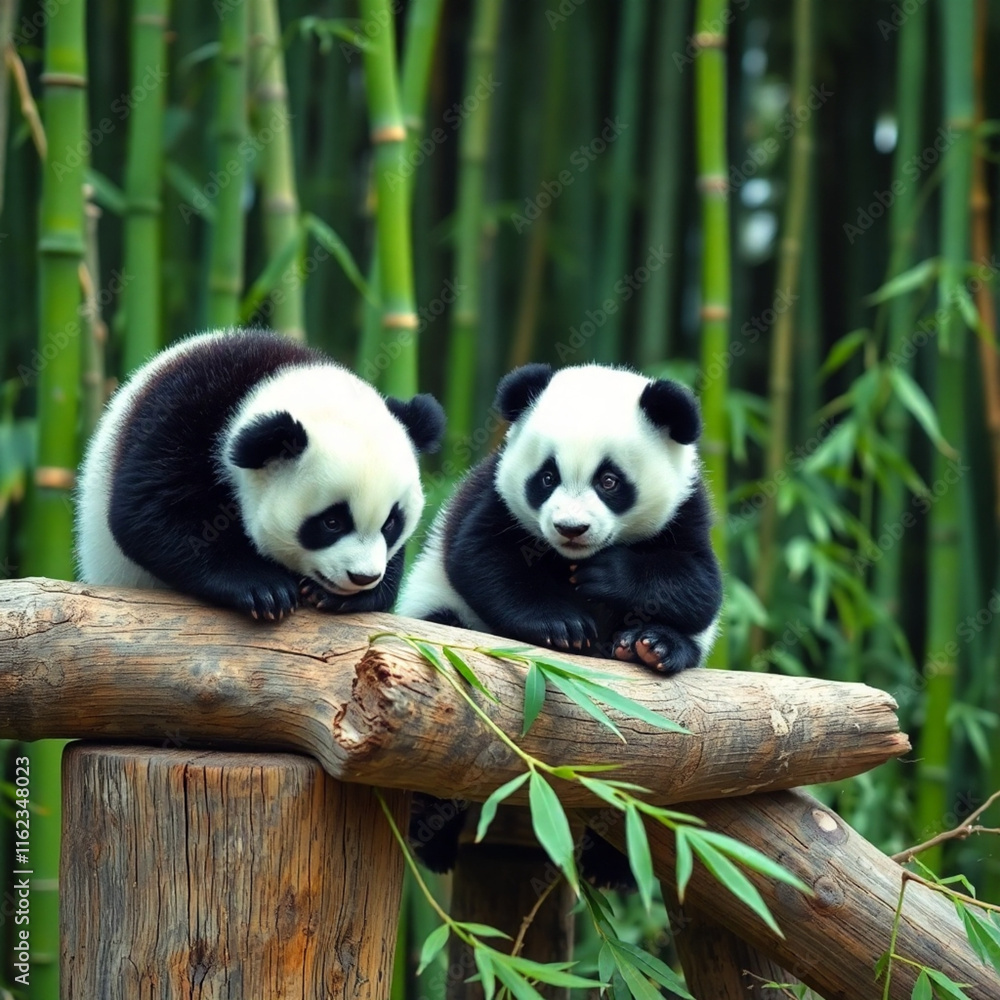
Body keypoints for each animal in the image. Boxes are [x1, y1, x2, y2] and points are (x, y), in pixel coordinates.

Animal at [76, 328, 445, 620]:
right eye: (331, 522)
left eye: (391, 524)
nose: (362, 577)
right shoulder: (179, 420)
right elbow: (149, 516)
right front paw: (264, 588)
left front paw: (334, 595)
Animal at [398, 361, 723, 879]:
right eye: (546, 477)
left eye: (609, 481)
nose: (571, 528)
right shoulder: (495, 495)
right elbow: (483, 560)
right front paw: (563, 627)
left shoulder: (687, 511)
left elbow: (699, 588)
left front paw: (608, 579)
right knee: (450, 620)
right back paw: (433, 837)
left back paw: (649, 646)